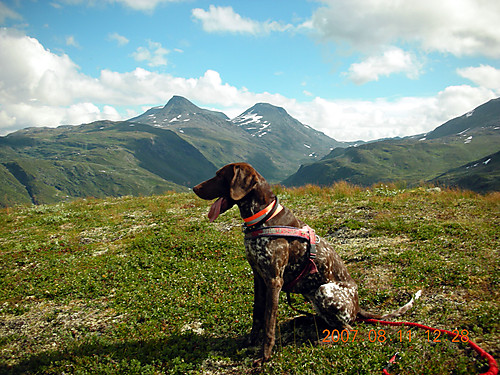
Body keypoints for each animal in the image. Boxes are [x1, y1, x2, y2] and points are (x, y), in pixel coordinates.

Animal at [193, 163, 420, 366]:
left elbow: (268, 323)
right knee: (328, 321)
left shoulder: (274, 280)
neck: (263, 217)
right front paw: (250, 341)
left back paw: (326, 339)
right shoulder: (259, 278)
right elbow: (257, 315)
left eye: (219, 175)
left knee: (348, 329)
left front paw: (265, 356)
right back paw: (302, 320)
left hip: (324, 290)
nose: (194, 188)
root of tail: (357, 308)